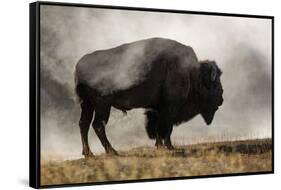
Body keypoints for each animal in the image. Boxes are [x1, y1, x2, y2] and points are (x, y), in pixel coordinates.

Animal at [74, 37, 223, 157]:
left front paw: (160, 146)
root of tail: (79, 66)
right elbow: (167, 127)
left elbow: (159, 127)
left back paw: (88, 153)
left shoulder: (158, 108)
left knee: (83, 124)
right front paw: (169, 146)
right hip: (102, 105)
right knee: (98, 125)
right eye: (215, 83)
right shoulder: (170, 107)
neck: (191, 72)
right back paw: (112, 151)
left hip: (87, 104)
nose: (221, 98)